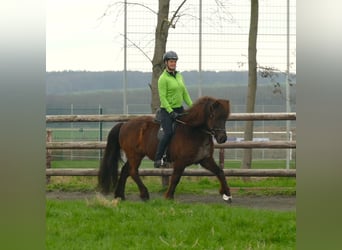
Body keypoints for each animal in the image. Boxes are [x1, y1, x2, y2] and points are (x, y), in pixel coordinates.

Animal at [98, 95, 232, 203]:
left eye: (225, 118)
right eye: (213, 116)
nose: (222, 138)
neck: (194, 131)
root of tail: (124, 124)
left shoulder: (205, 159)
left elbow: (220, 172)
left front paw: (227, 194)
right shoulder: (180, 162)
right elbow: (175, 178)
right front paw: (168, 197)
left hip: (136, 155)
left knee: (126, 171)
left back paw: (120, 195)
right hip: (134, 155)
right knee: (132, 171)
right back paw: (144, 194)